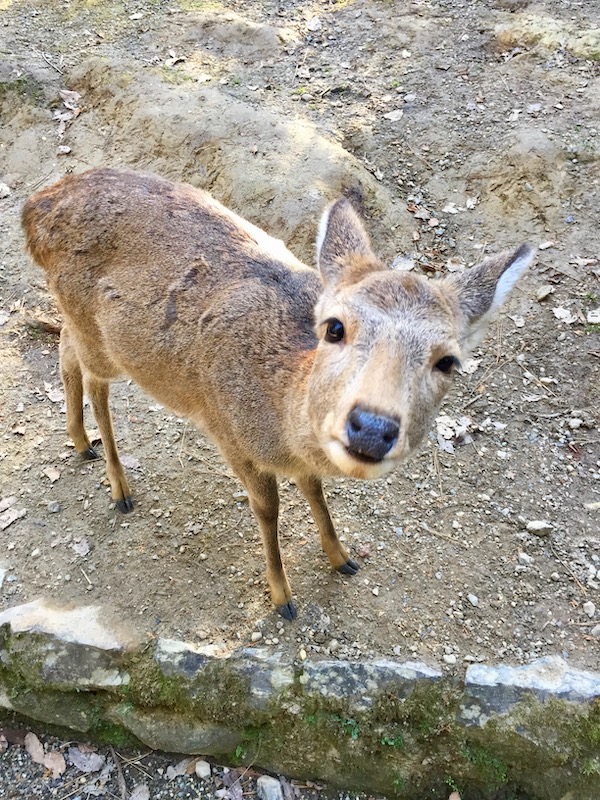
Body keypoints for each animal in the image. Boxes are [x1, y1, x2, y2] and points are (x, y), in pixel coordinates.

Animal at [21, 167, 532, 620]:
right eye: (334, 327)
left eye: (449, 361)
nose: (372, 428)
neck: (283, 418)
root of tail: (34, 207)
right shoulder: (230, 433)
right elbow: (268, 510)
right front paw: (282, 597)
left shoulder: (297, 460)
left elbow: (314, 489)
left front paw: (342, 557)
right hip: (100, 337)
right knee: (89, 374)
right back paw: (118, 485)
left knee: (64, 347)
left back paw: (82, 443)